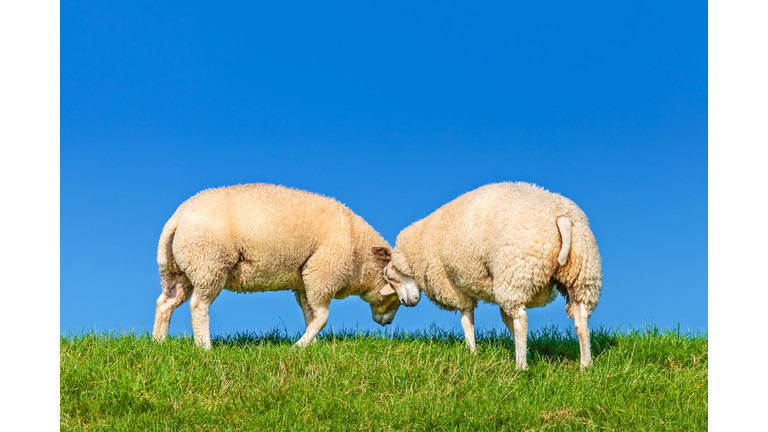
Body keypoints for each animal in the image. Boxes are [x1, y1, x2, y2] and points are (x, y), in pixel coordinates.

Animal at [152, 183, 410, 349]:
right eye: (393, 285)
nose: (387, 324)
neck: (359, 253)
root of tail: (179, 216)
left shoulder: (306, 278)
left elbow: (310, 314)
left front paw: (312, 344)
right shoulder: (323, 273)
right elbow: (322, 316)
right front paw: (299, 347)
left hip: (180, 271)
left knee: (165, 302)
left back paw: (158, 342)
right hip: (209, 263)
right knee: (198, 306)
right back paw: (205, 348)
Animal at [382, 182, 602, 369]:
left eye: (390, 277)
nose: (404, 302)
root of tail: (560, 216)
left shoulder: (455, 286)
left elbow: (467, 319)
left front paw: (472, 352)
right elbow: (505, 320)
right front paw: (523, 350)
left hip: (516, 270)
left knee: (521, 319)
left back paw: (521, 367)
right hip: (581, 272)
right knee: (581, 316)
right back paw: (585, 365)